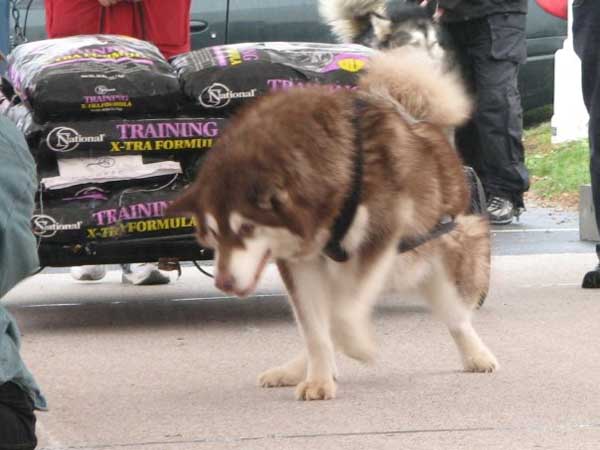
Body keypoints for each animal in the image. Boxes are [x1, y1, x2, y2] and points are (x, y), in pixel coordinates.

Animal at [168, 47, 496, 402]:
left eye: (246, 228)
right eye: (214, 234)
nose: (224, 283)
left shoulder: (377, 240)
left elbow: (341, 318)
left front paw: (358, 348)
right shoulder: (300, 262)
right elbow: (315, 328)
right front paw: (318, 379)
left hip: (434, 258)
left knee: (456, 315)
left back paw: (477, 355)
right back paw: (298, 369)